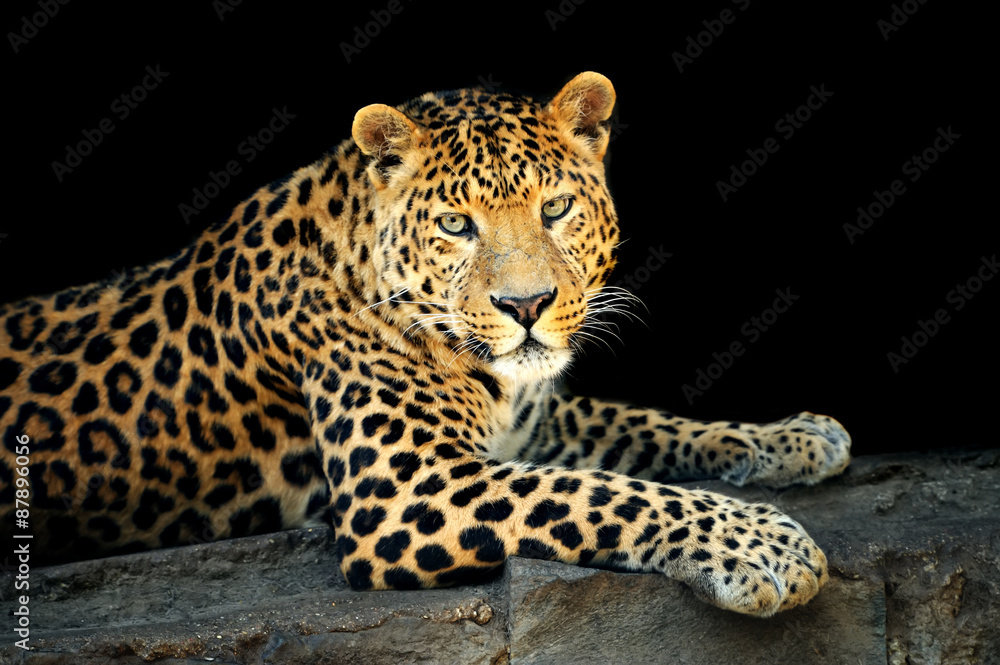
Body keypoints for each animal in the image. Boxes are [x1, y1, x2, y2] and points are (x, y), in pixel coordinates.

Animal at [0, 72, 851, 617]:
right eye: (454, 224)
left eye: (556, 207)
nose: (526, 305)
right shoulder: (408, 489)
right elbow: (603, 491)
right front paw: (762, 544)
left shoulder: (528, 421)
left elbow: (645, 426)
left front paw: (794, 436)